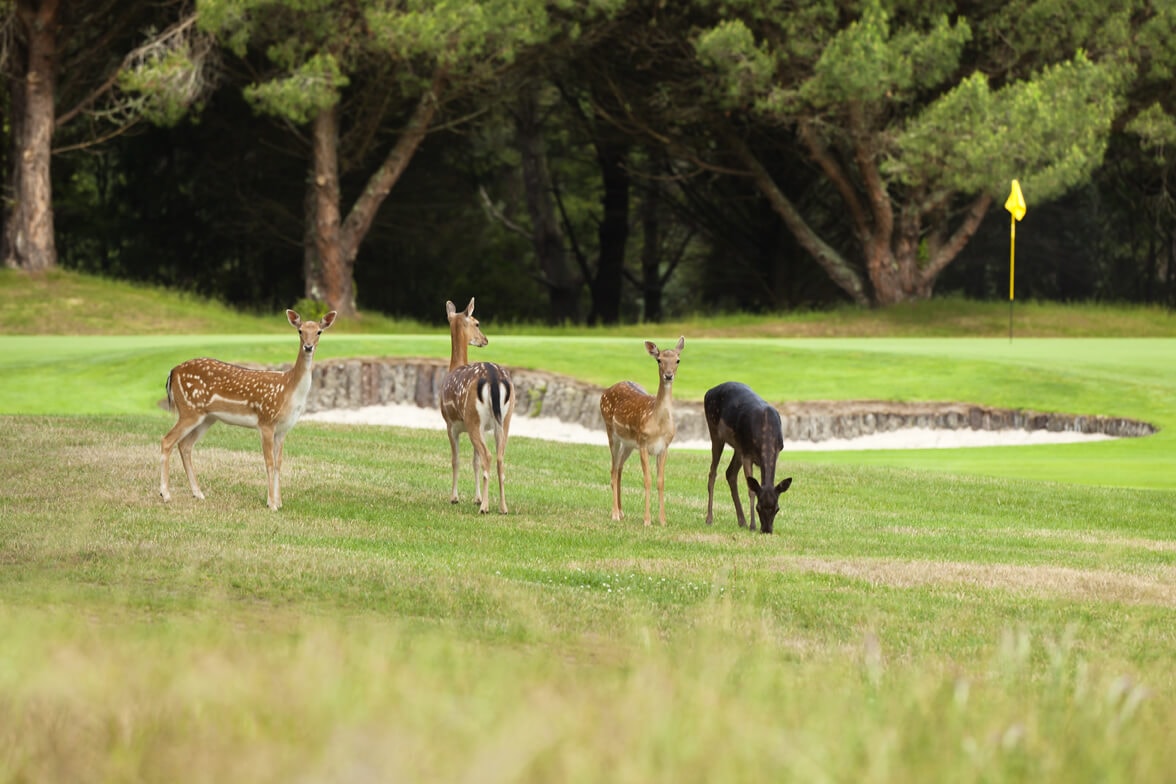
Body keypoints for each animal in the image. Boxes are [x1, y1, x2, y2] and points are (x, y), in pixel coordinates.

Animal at [159, 309, 337, 510]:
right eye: (300, 331)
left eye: (319, 332)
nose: (308, 347)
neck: (289, 391)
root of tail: (173, 371)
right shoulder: (266, 421)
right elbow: (269, 462)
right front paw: (271, 504)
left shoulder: (283, 429)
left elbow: (279, 463)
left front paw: (279, 502)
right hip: (189, 409)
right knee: (167, 440)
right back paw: (166, 494)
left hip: (207, 417)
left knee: (185, 445)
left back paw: (198, 493)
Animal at [439, 298, 515, 514]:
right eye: (478, 323)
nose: (485, 340)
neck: (454, 366)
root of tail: (493, 377)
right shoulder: (479, 428)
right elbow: (474, 461)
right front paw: (476, 497)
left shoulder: (450, 423)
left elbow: (455, 460)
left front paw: (455, 497)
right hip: (505, 419)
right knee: (499, 457)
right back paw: (503, 507)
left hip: (473, 418)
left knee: (488, 456)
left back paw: (485, 507)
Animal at [599, 337, 686, 526]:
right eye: (659, 360)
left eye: (677, 360)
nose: (669, 375)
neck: (658, 424)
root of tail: (605, 392)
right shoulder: (644, 443)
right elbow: (647, 480)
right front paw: (647, 520)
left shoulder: (664, 447)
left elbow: (660, 481)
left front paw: (663, 520)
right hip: (610, 430)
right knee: (613, 470)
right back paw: (615, 514)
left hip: (629, 444)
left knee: (619, 468)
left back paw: (621, 511)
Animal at [703, 381, 793, 534]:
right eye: (758, 507)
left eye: (777, 508)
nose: (767, 530)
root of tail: (708, 391)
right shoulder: (747, 454)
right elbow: (751, 490)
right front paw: (753, 526)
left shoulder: (777, 451)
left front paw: (750, 524)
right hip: (715, 430)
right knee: (713, 472)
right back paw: (709, 519)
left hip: (738, 447)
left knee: (730, 473)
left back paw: (742, 521)